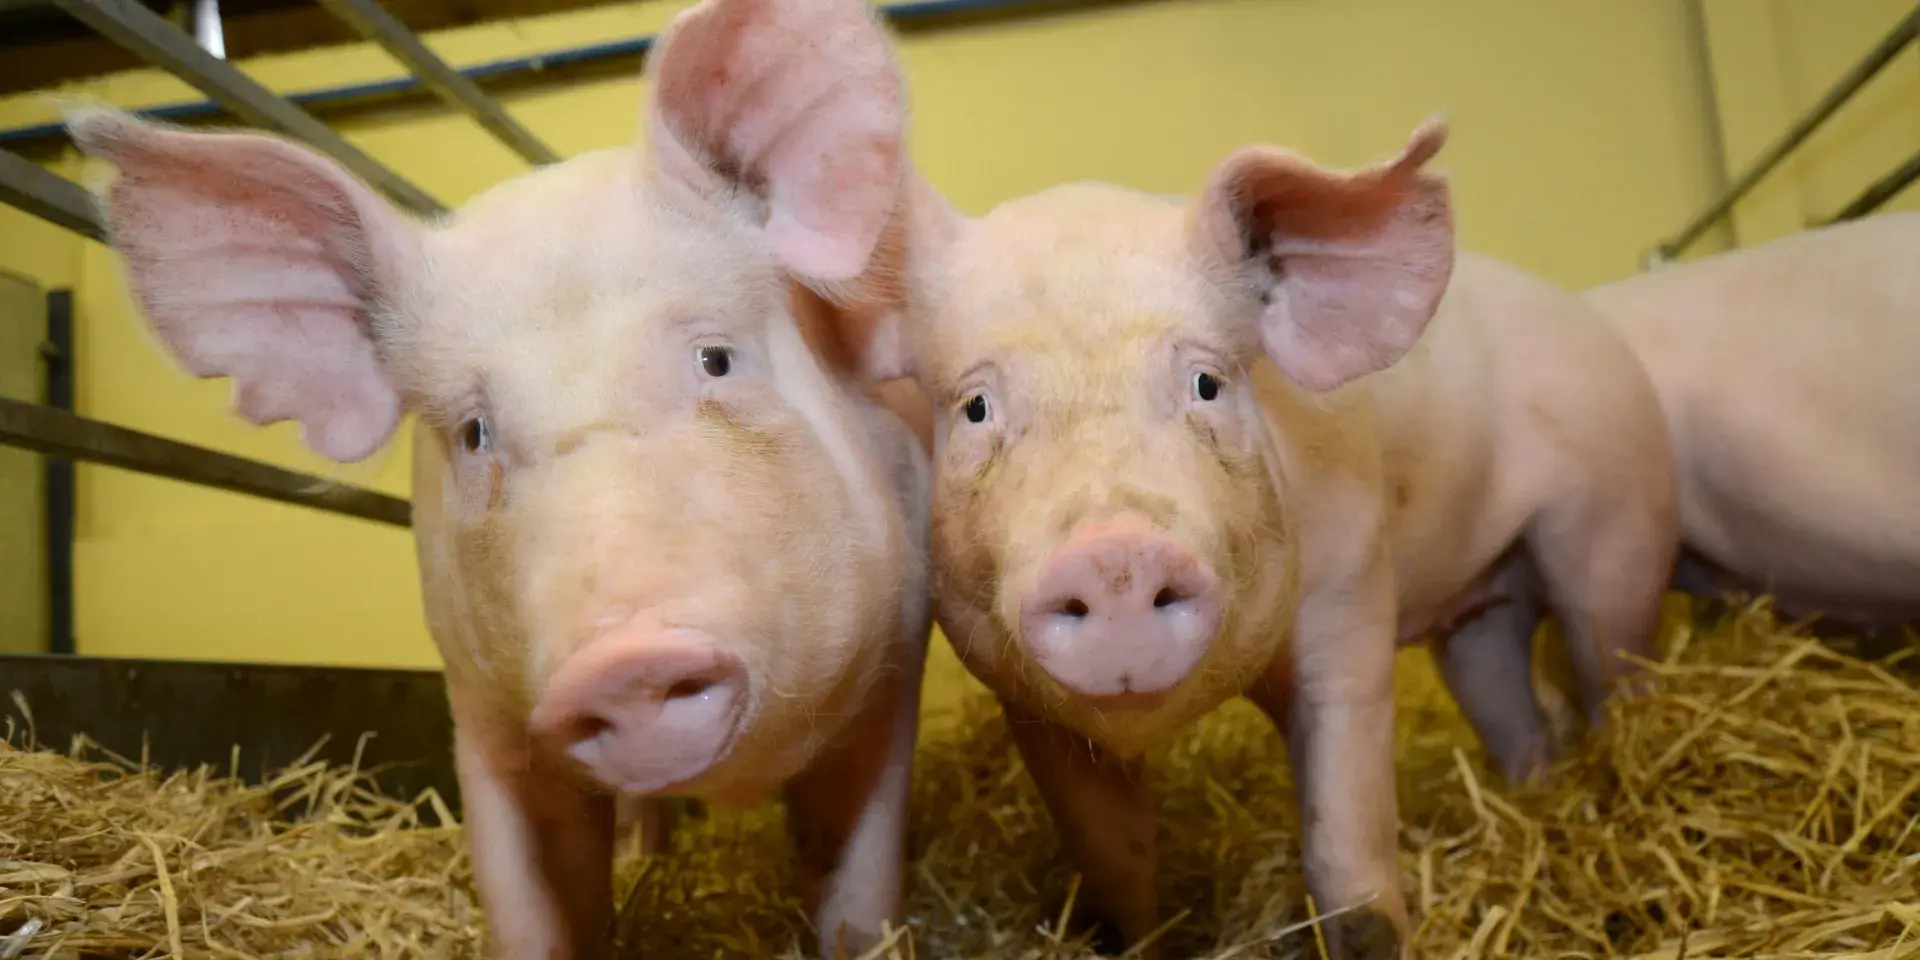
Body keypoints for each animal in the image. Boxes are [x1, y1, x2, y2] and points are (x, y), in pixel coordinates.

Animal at [63, 0, 933, 955]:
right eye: (473, 433)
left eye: (716, 358)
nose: (622, 663)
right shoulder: (480, 716)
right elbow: (532, 899)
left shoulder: (896, 658)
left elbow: (855, 880)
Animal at [821, 122, 1680, 956]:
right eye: (975, 409)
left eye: (1208, 384)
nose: (1115, 556)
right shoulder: (1024, 700)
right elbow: (1116, 854)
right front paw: (1140, 937)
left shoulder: (1352, 597)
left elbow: (1346, 856)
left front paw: (1369, 934)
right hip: (1482, 616)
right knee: (1509, 701)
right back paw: (1536, 786)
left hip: (1616, 525)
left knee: (1612, 666)